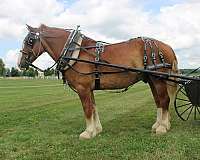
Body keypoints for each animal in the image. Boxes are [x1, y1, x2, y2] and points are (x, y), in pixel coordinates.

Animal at [18, 24, 178, 139]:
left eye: (29, 41)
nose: (20, 63)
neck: (75, 52)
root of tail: (167, 47)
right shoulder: (89, 89)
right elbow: (93, 108)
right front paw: (96, 130)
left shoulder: (82, 89)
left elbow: (87, 109)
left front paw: (88, 132)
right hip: (151, 80)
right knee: (158, 101)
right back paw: (158, 124)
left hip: (158, 79)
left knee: (164, 100)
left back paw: (162, 127)